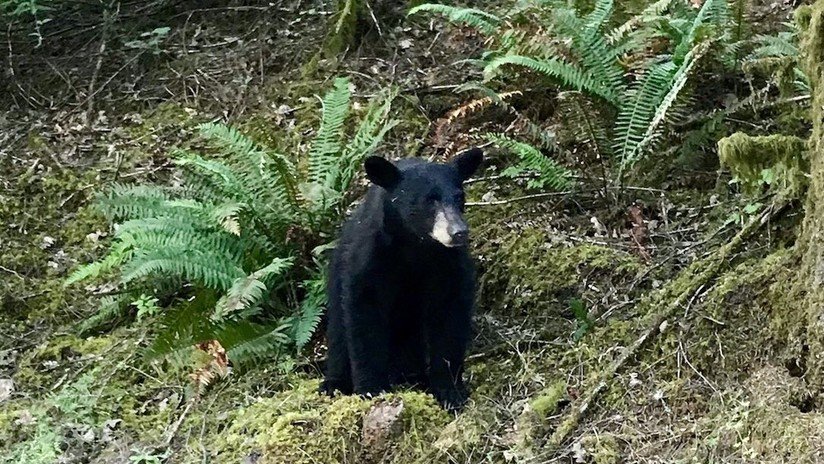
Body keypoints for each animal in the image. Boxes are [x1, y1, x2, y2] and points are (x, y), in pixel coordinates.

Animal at [318, 148, 480, 410]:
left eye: (459, 198)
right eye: (429, 200)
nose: (458, 233)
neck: (415, 245)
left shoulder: (449, 265)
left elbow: (450, 318)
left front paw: (450, 391)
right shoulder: (370, 258)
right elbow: (364, 316)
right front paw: (371, 388)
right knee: (338, 330)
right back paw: (333, 384)